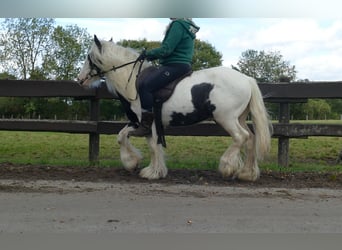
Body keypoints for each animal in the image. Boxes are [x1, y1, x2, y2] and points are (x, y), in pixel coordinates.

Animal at [78, 35, 272, 181]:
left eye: (88, 57)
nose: (80, 80)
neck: (134, 81)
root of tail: (246, 79)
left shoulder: (150, 123)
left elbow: (153, 147)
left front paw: (152, 172)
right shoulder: (140, 124)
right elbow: (122, 137)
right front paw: (133, 162)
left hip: (226, 118)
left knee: (241, 137)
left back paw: (227, 166)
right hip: (239, 118)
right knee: (251, 139)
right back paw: (247, 174)